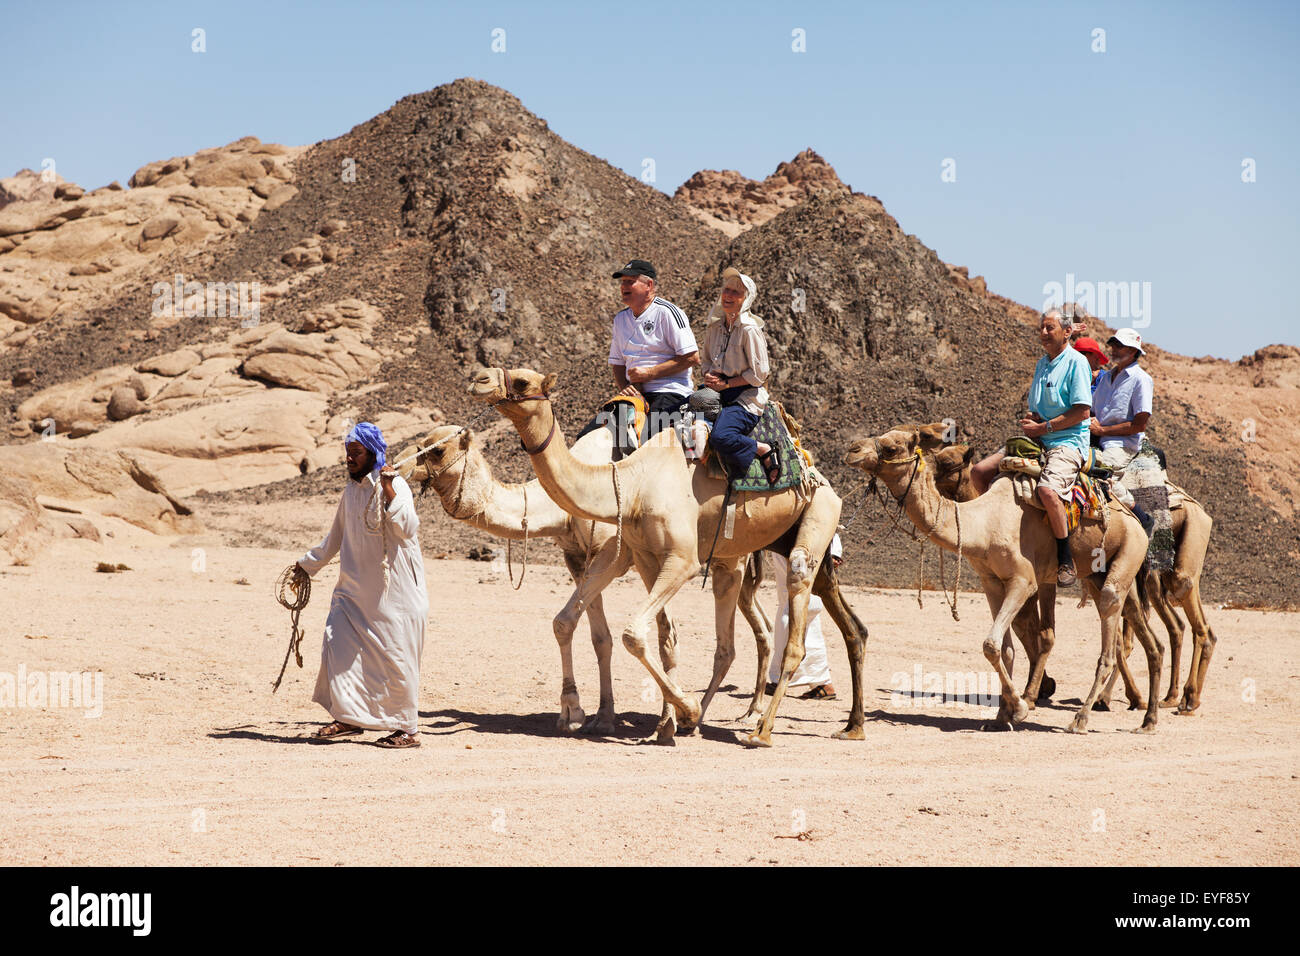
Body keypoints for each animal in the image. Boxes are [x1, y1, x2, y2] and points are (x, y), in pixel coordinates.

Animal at [473, 366, 857, 749]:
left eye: (522, 381)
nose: (480, 379)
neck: (632, 484)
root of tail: (814, 470)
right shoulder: (638, 555)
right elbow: (619, 632)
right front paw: (651, 721)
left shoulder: (681, 559)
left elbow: (632, 634)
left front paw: (679, 711)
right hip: (748, 554)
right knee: (749, 638)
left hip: (817, 514)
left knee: (793, 611)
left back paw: (759, 729)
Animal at [847, 426, 1164, 733]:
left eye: (892, 447)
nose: (852, 450)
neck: (984, 525)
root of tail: (1137, 518)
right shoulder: (991, 582)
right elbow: (1006, 649)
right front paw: (1001, 717)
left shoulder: (1023, 581)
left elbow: (991, 643)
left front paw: (1021, 708)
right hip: (1100, 575)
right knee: (1148, 640)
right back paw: (1148, 720)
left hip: (1127, 554)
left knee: (1109, 642)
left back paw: (1082, 720)